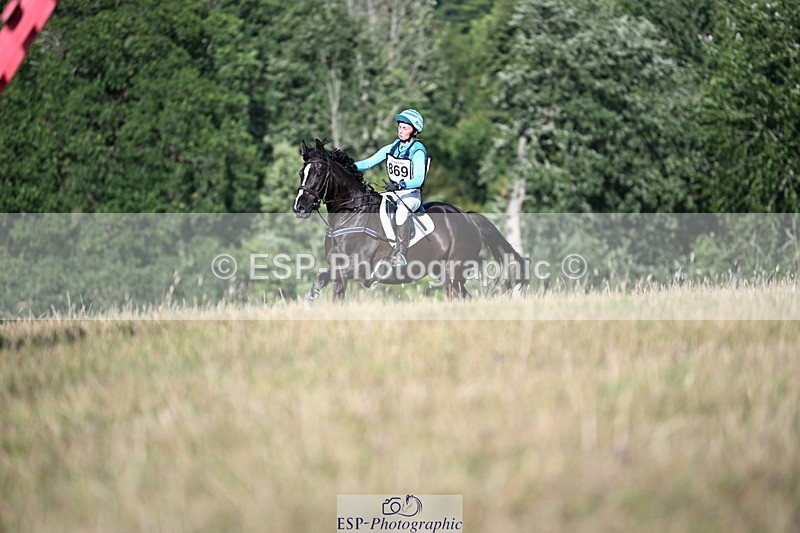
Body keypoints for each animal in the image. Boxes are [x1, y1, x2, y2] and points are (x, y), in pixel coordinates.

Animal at [293, 138, 528, 301]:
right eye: (301, 173)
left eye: (319, 173)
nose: (299, 207)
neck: (352, 214)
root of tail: (467, 218)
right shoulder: (338, 270)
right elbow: (324, 286)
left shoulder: (356, 267)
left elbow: (327, 285)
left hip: (454, 271)